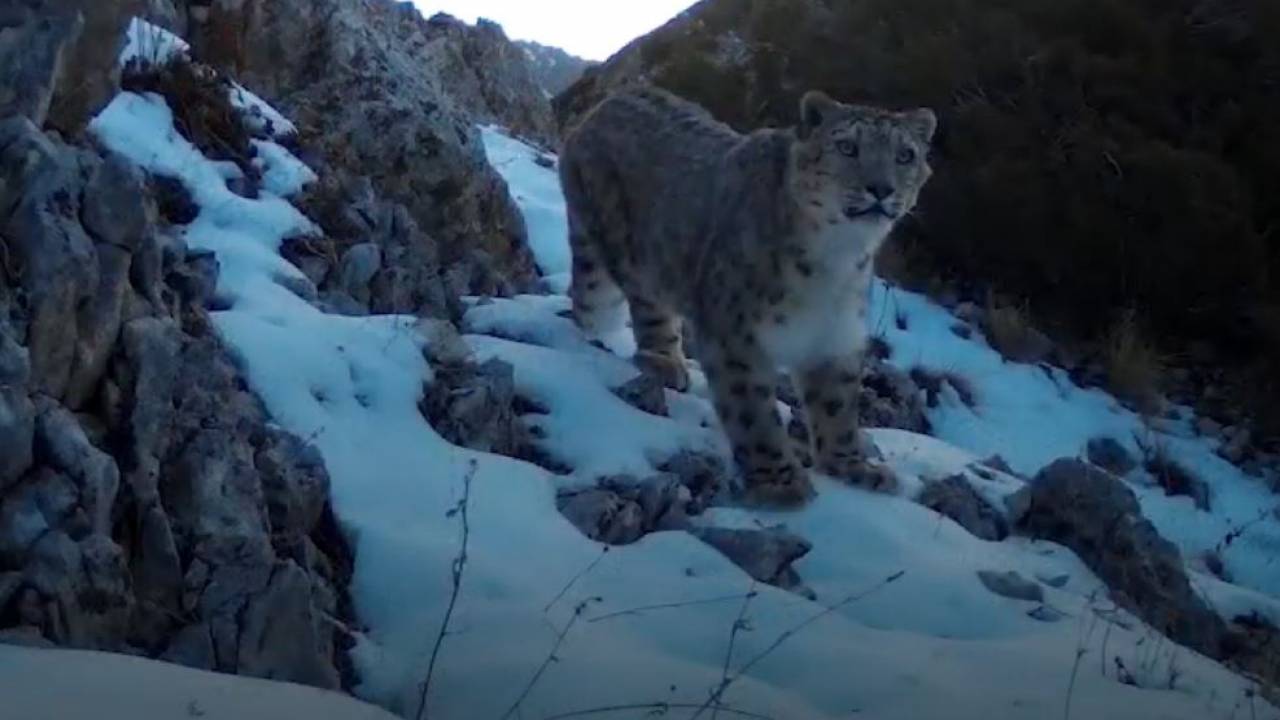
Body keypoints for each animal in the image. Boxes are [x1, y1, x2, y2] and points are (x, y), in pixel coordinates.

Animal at [558, 85, 931, 504]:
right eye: (848, 147)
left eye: (905, 155)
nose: (881, 188)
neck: (836, 258)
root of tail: (611, 99)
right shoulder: (736, 336)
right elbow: (752, 410)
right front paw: (779, 481)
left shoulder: (835, 337)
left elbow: (837, 408)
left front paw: (852, 466)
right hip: (629, 253)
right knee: (630, 304)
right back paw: (661, 361)